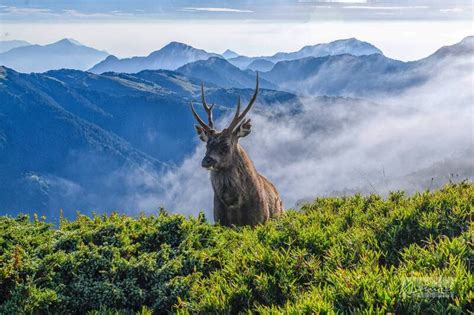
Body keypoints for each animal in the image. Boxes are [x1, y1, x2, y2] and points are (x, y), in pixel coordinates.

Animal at [191, 74, 284, 227]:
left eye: (226, 145)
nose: (206, 161)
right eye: (207, 145)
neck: (234, 205)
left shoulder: (259, 220)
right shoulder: (220, 221)